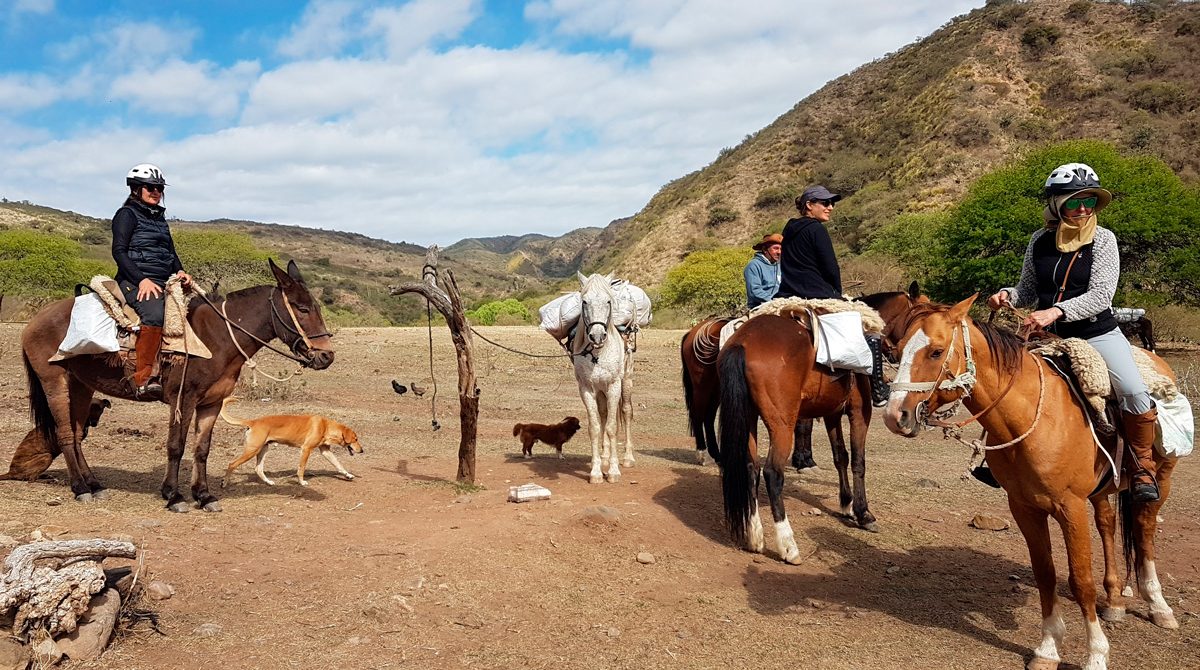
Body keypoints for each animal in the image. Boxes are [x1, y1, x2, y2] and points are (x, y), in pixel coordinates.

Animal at [22, 260, 333, 511]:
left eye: (317, 307)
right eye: (302, 308)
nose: (326, 356)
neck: (216, 337)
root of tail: (35, 320)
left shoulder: (211, 404)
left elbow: (202, 449)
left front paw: (204, 496)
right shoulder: (183, 400)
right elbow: (176, 446)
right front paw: (173, 496)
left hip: (81, 385)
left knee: (76, 435)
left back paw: (94, 485)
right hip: (54, 381)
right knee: (64, 434)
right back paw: (80, 489)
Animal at [219, 398, 360, 487]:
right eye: (356, 439)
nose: (362, 450)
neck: (325, 426)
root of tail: (253, 422)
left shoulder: (325, 450)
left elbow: (338, 464)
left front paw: (348, 475)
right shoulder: (306, 449)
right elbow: (301, 468)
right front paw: (302, 482)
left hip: (263, 449)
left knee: (258, 469)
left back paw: (269, 482)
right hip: (252, 450)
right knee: (232, 464)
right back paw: (225, 483)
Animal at [573, 271, 638, 482]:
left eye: (609, 301)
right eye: (584, 301)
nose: (597, 336)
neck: (598, 354)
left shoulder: (613, 386)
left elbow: (611, 427)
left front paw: (614, 471)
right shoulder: (586, 389)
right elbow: (595, 428)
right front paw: (596, 472)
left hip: (626, 381)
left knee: (626, 412)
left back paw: (627, 458)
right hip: (601, 391)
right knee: (603, 414)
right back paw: (605, 457)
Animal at [883, 297, 1180, 670]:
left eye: (936, 352)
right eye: (897, 350)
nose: (895, 416)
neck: (1033, 417)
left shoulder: (1070, 508)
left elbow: (1080, 580)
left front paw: (1096, 654)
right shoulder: (1024, 507)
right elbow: (1046, 574)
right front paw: (1048, 649)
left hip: (1161, 479)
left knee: (1144, 529)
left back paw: (1159, 606)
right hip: (1100, 491)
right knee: (1108, 524)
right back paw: (1113, 601)